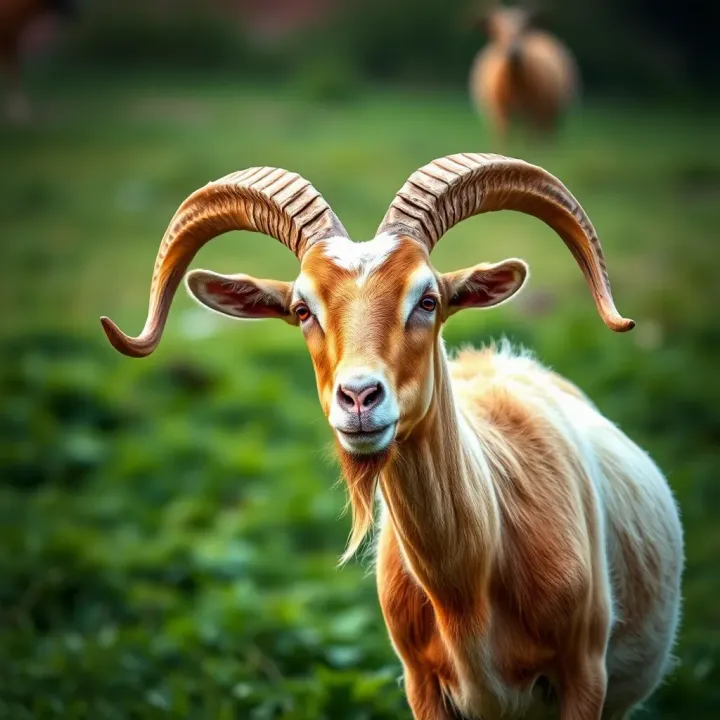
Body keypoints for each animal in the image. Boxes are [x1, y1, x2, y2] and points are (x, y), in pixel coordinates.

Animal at [101, 155, 684, 720]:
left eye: (428, 299)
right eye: (301, 309)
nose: (359, 397)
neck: (469, 586)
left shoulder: (585, 676)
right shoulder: (421, 685)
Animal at [469, 3, 579, 140]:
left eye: (523, 29)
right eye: (497, 30)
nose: (514, 51)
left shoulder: (537, 118)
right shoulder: (502, 120)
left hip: (549, 119)